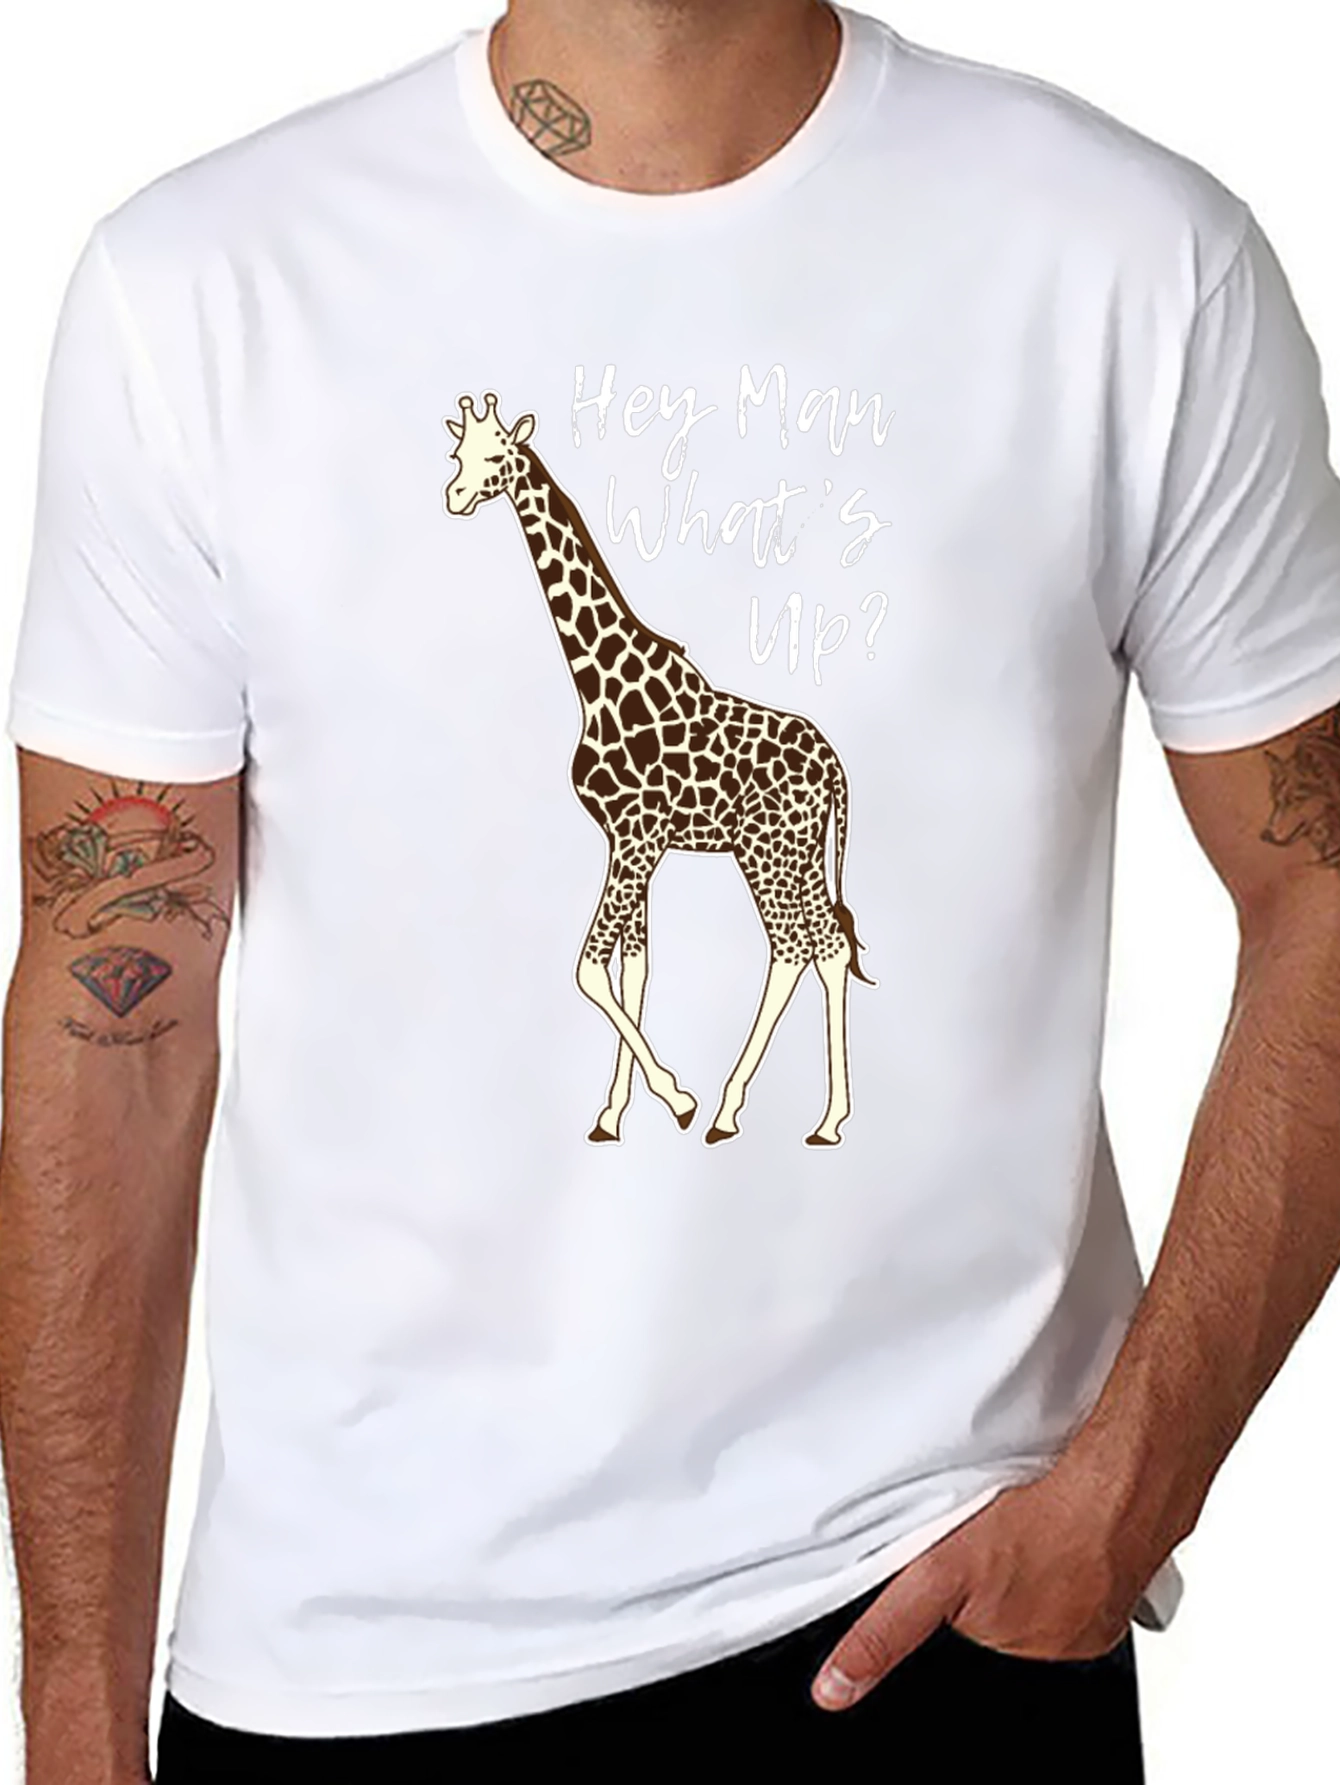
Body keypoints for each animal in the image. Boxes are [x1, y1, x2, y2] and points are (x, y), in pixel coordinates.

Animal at [442, 391, 874, 1147]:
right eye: (456, 453)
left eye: (496, 455)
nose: (455, 497)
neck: (597, 681)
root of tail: (834, 765)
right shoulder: (628, 840)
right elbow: (632, 969)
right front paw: (614, 1115)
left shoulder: (637, 837)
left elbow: (591, 969)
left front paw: (677, 1098)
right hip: (795, 853)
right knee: (826, 944)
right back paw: (825, 1119)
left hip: (767, 851)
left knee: (795, 946)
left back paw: (733, 1110)